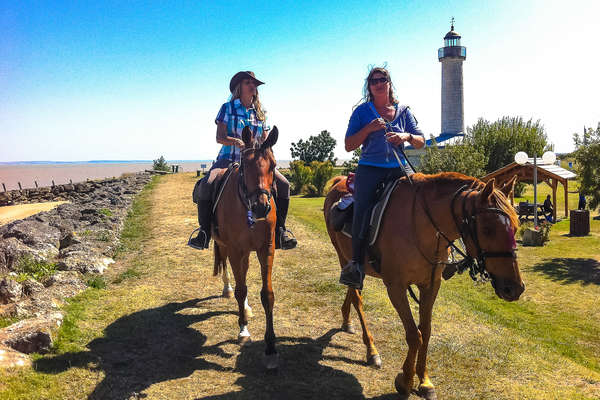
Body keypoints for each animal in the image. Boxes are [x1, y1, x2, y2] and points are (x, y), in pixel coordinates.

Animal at [213, 125, 282, 368]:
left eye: (273, 165)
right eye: (244, 165)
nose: (261, 207)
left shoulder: (266, 249)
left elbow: (267, 294)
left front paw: (271, 347)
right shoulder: (235, 249)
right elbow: (241, 289)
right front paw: (243, 330)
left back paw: (247, 307)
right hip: (223, 245)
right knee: (227, 268)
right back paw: (227, 289)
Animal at [324, 173, 524, 400]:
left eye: (516, 227)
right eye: (487, 229)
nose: (514, 288)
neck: (422, 226)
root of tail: (340, 181)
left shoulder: (430, 286)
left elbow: (425, 332)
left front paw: (425, 381)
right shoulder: (396, 288)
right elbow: (414, 335)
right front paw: (405, 381)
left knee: (352, 293)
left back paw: (346, 320)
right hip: (344, 257)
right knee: (357, 297)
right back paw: (371, 350)